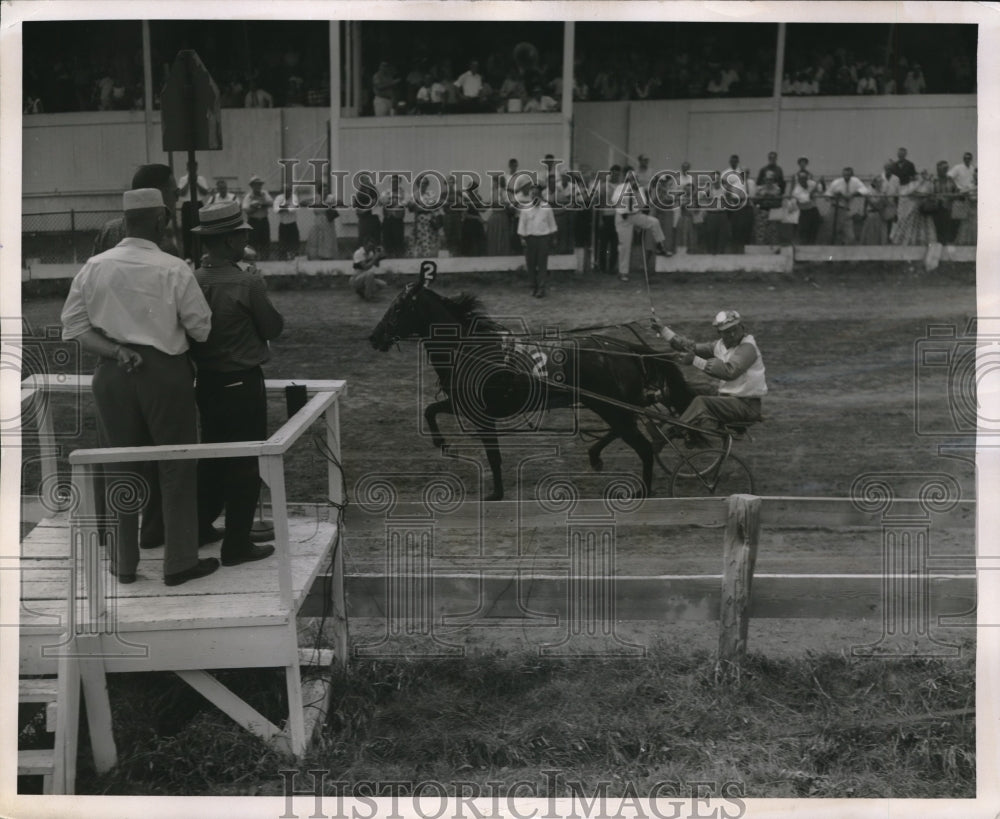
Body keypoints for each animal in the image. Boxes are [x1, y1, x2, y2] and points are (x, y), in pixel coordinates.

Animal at [370, 262, 696, 500]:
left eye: (397, 308)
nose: (374, 337)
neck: (471, 348)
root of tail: (624, 348)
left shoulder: (480, 414)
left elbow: (493, 455)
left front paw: (495, 494)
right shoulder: (462, 404)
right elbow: (431, 410)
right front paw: (441, 442)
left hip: (612, 406)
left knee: (642, 446)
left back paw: (643, 490)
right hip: (611, 406)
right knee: (626, 431)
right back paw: (596, 456)